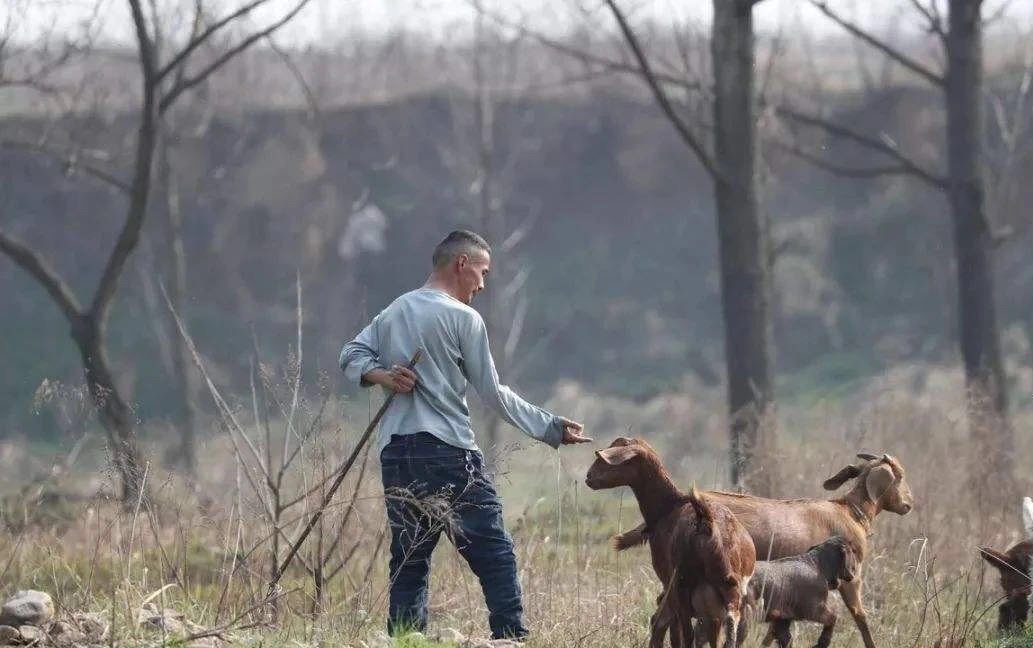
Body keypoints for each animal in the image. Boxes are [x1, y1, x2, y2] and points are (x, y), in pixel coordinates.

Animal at [586, 436, 756, 648]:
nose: (588, 477)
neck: (668, 507)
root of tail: (707, 524)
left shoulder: (669, 583)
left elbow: (671, 629)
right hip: (729, 592)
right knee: (729, 629)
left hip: (683, 587)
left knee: (685, 631)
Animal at [611, 454, 913, 648]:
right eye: (899, 475)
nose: (908, 503)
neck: (849, 511)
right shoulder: (851, 578)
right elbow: (860, 617)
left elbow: (778, 627)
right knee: (673, 619)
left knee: (664, 616)